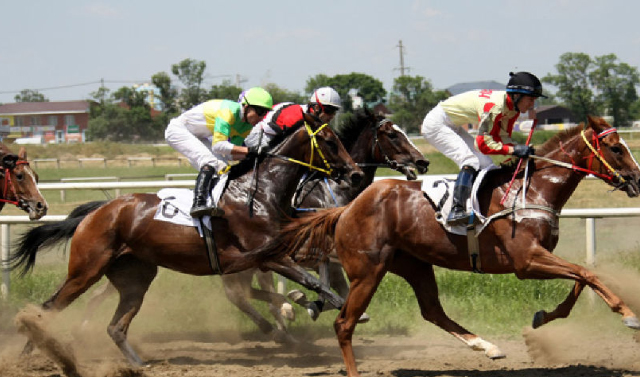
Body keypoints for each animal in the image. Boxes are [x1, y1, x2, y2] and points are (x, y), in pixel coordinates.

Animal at [10, 114, 362, 368]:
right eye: (330, 141)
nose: (355, 174)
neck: (259, 192)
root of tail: (97, 211)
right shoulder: (268, 254)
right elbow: (314, 283)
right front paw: (320, 306)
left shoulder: (270, 255)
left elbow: (315, 282)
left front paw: (315, 307)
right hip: (86, 269)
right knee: (50, 307)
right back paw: (29, 355)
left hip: (135, 277)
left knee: (115, 326)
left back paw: (138, 364)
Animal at [264, 116, 640, 374]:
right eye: (616, 148)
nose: (637, 179)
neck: (532, 190)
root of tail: (346, 208)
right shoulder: (526, 261)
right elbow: (586, 274)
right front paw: (628, 315)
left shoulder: (539, 256)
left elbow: (582, 277)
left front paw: (542, 321)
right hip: (368, 271)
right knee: (344, 324)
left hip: (413, 263)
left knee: (432, 310)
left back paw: (487, 346)